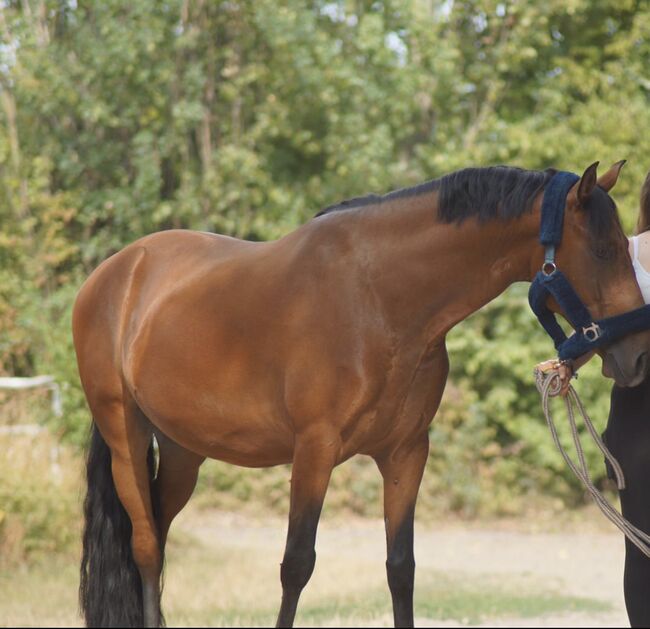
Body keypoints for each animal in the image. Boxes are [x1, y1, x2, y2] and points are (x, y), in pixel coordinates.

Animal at [72, 159, 648, 624]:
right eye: (604, 250)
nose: (637, 355)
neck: (379, 298)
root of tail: (118, 270)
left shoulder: (406, 453)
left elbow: (401, 568)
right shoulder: (315, 450)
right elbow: (296, 565)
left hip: (183, 451)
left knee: (159, 535)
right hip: (125, 435)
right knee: (146, 547)